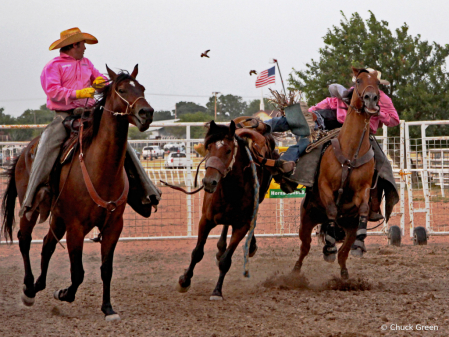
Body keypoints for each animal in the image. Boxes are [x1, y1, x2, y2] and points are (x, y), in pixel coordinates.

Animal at [1, 64, 154, 318]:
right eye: (122, 89)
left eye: (142, 88)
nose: (147, 113)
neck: (100, 168)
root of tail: (24, 152)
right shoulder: (76, 227)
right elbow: (78, 272)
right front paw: (63, 293)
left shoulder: (114, 226)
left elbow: (106, 269)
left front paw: (108, 308)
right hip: (31, 207)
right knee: (25, 239)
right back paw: (29, 289)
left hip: (58, 217)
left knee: (47, 244)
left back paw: (39, 285)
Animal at [177, 121, 272, 300]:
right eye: (208, 148)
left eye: (228, 150)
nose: (209, 182)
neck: (231, 190)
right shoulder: (205, 220)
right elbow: (197, 252)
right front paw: (184, 281)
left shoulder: (242, 226)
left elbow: (226, 261)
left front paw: (217, 291)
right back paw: (221, 248)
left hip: (259, 198)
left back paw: (248, 246)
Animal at [294, 67, 378, 280]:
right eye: (358, 80)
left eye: (378, 83)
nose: (371, 98)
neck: (350, 153)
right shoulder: (325, 186)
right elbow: (332, 209)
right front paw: (328, 249)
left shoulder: (363, 189)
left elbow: (364, 207)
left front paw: (360, 244)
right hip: (306, 220)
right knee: (304, 248)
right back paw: (295, 272)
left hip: (349, 227)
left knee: (344, 253)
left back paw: (345, 274)